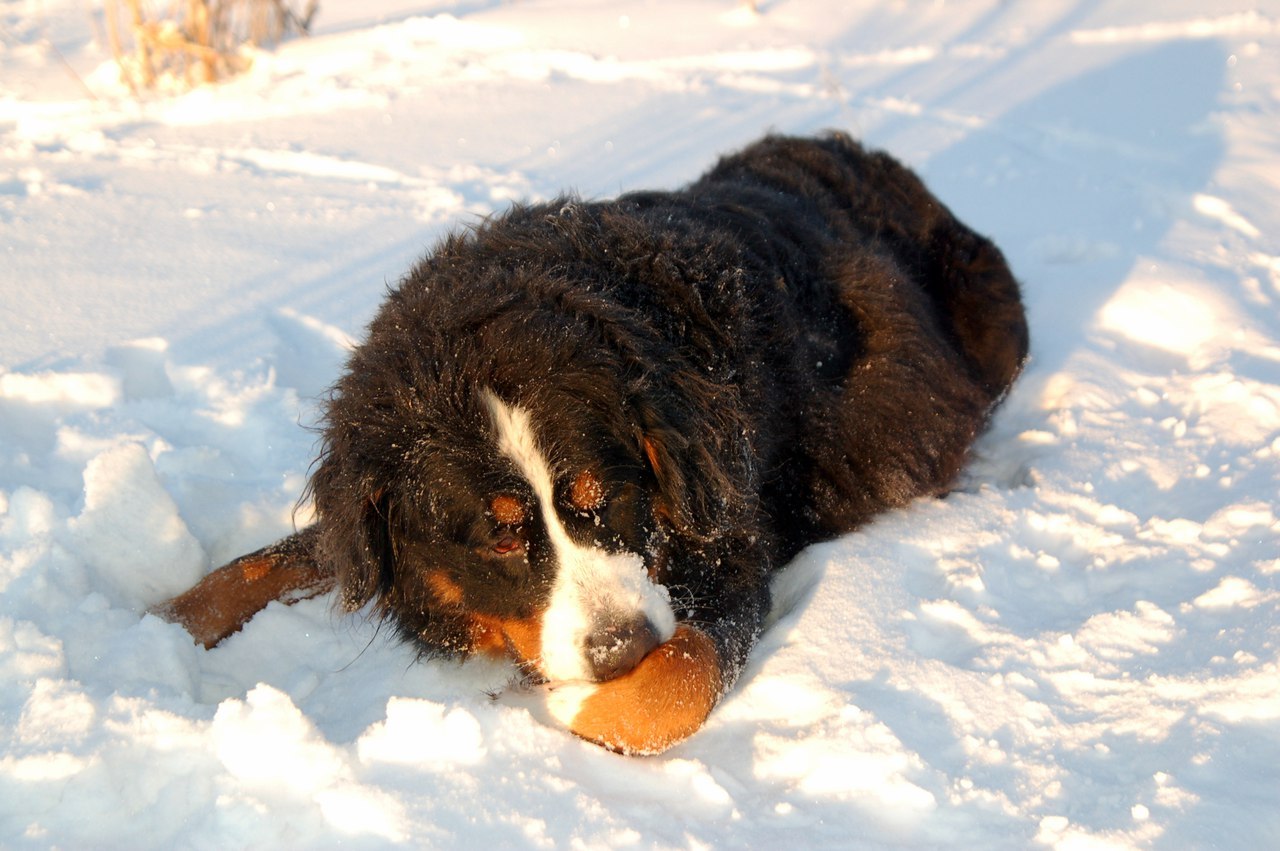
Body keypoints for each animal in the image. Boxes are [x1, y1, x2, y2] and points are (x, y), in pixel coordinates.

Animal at [154, 134, 1029, 757]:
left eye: (604, 498)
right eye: (502, 534)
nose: (618, 646)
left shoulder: (726, 545)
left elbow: (675, 680)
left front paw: (578, 698)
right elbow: (257, 565)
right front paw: (153, 629)